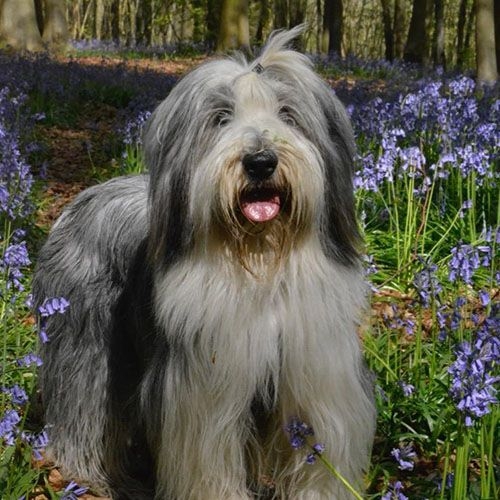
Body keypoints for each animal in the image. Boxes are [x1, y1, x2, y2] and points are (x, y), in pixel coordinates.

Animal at [32, 27, 376, 500]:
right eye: (220, 118)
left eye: (288, 114)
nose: (260, 161)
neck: (262, 264)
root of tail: (83, 196)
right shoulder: (205, 389)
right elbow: (206, 460)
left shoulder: (319, 376)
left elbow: (321, 459)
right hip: (84, 344)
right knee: (82, 410)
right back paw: (92, 475)